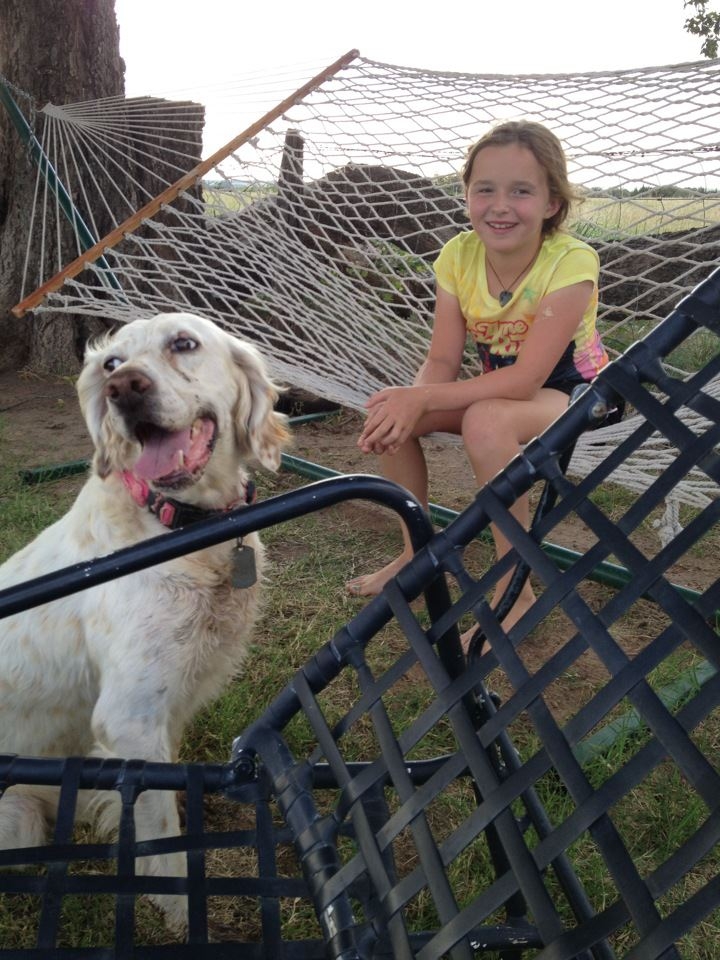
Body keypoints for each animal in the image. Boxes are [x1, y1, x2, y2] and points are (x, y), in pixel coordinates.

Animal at [0, 312, 290, 928]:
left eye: (184, 343)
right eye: (111, 364)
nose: (124, 388)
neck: (183, 531)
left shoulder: (164, 710)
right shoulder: (129, 719)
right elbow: (165, 838)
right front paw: (182, 916)